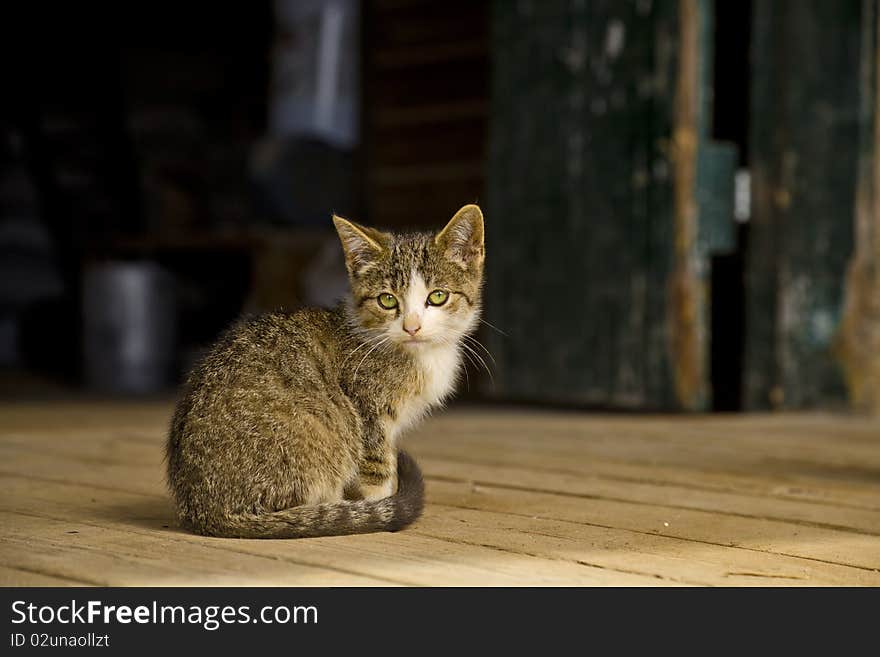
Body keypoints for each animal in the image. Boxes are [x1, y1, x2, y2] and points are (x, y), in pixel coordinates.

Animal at [163, 205, 482, 540]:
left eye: (437, 297)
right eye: (387, 300)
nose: (412, 326)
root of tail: (205, 511)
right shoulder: (369, 416)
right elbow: (377, 471)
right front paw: (378, 507)